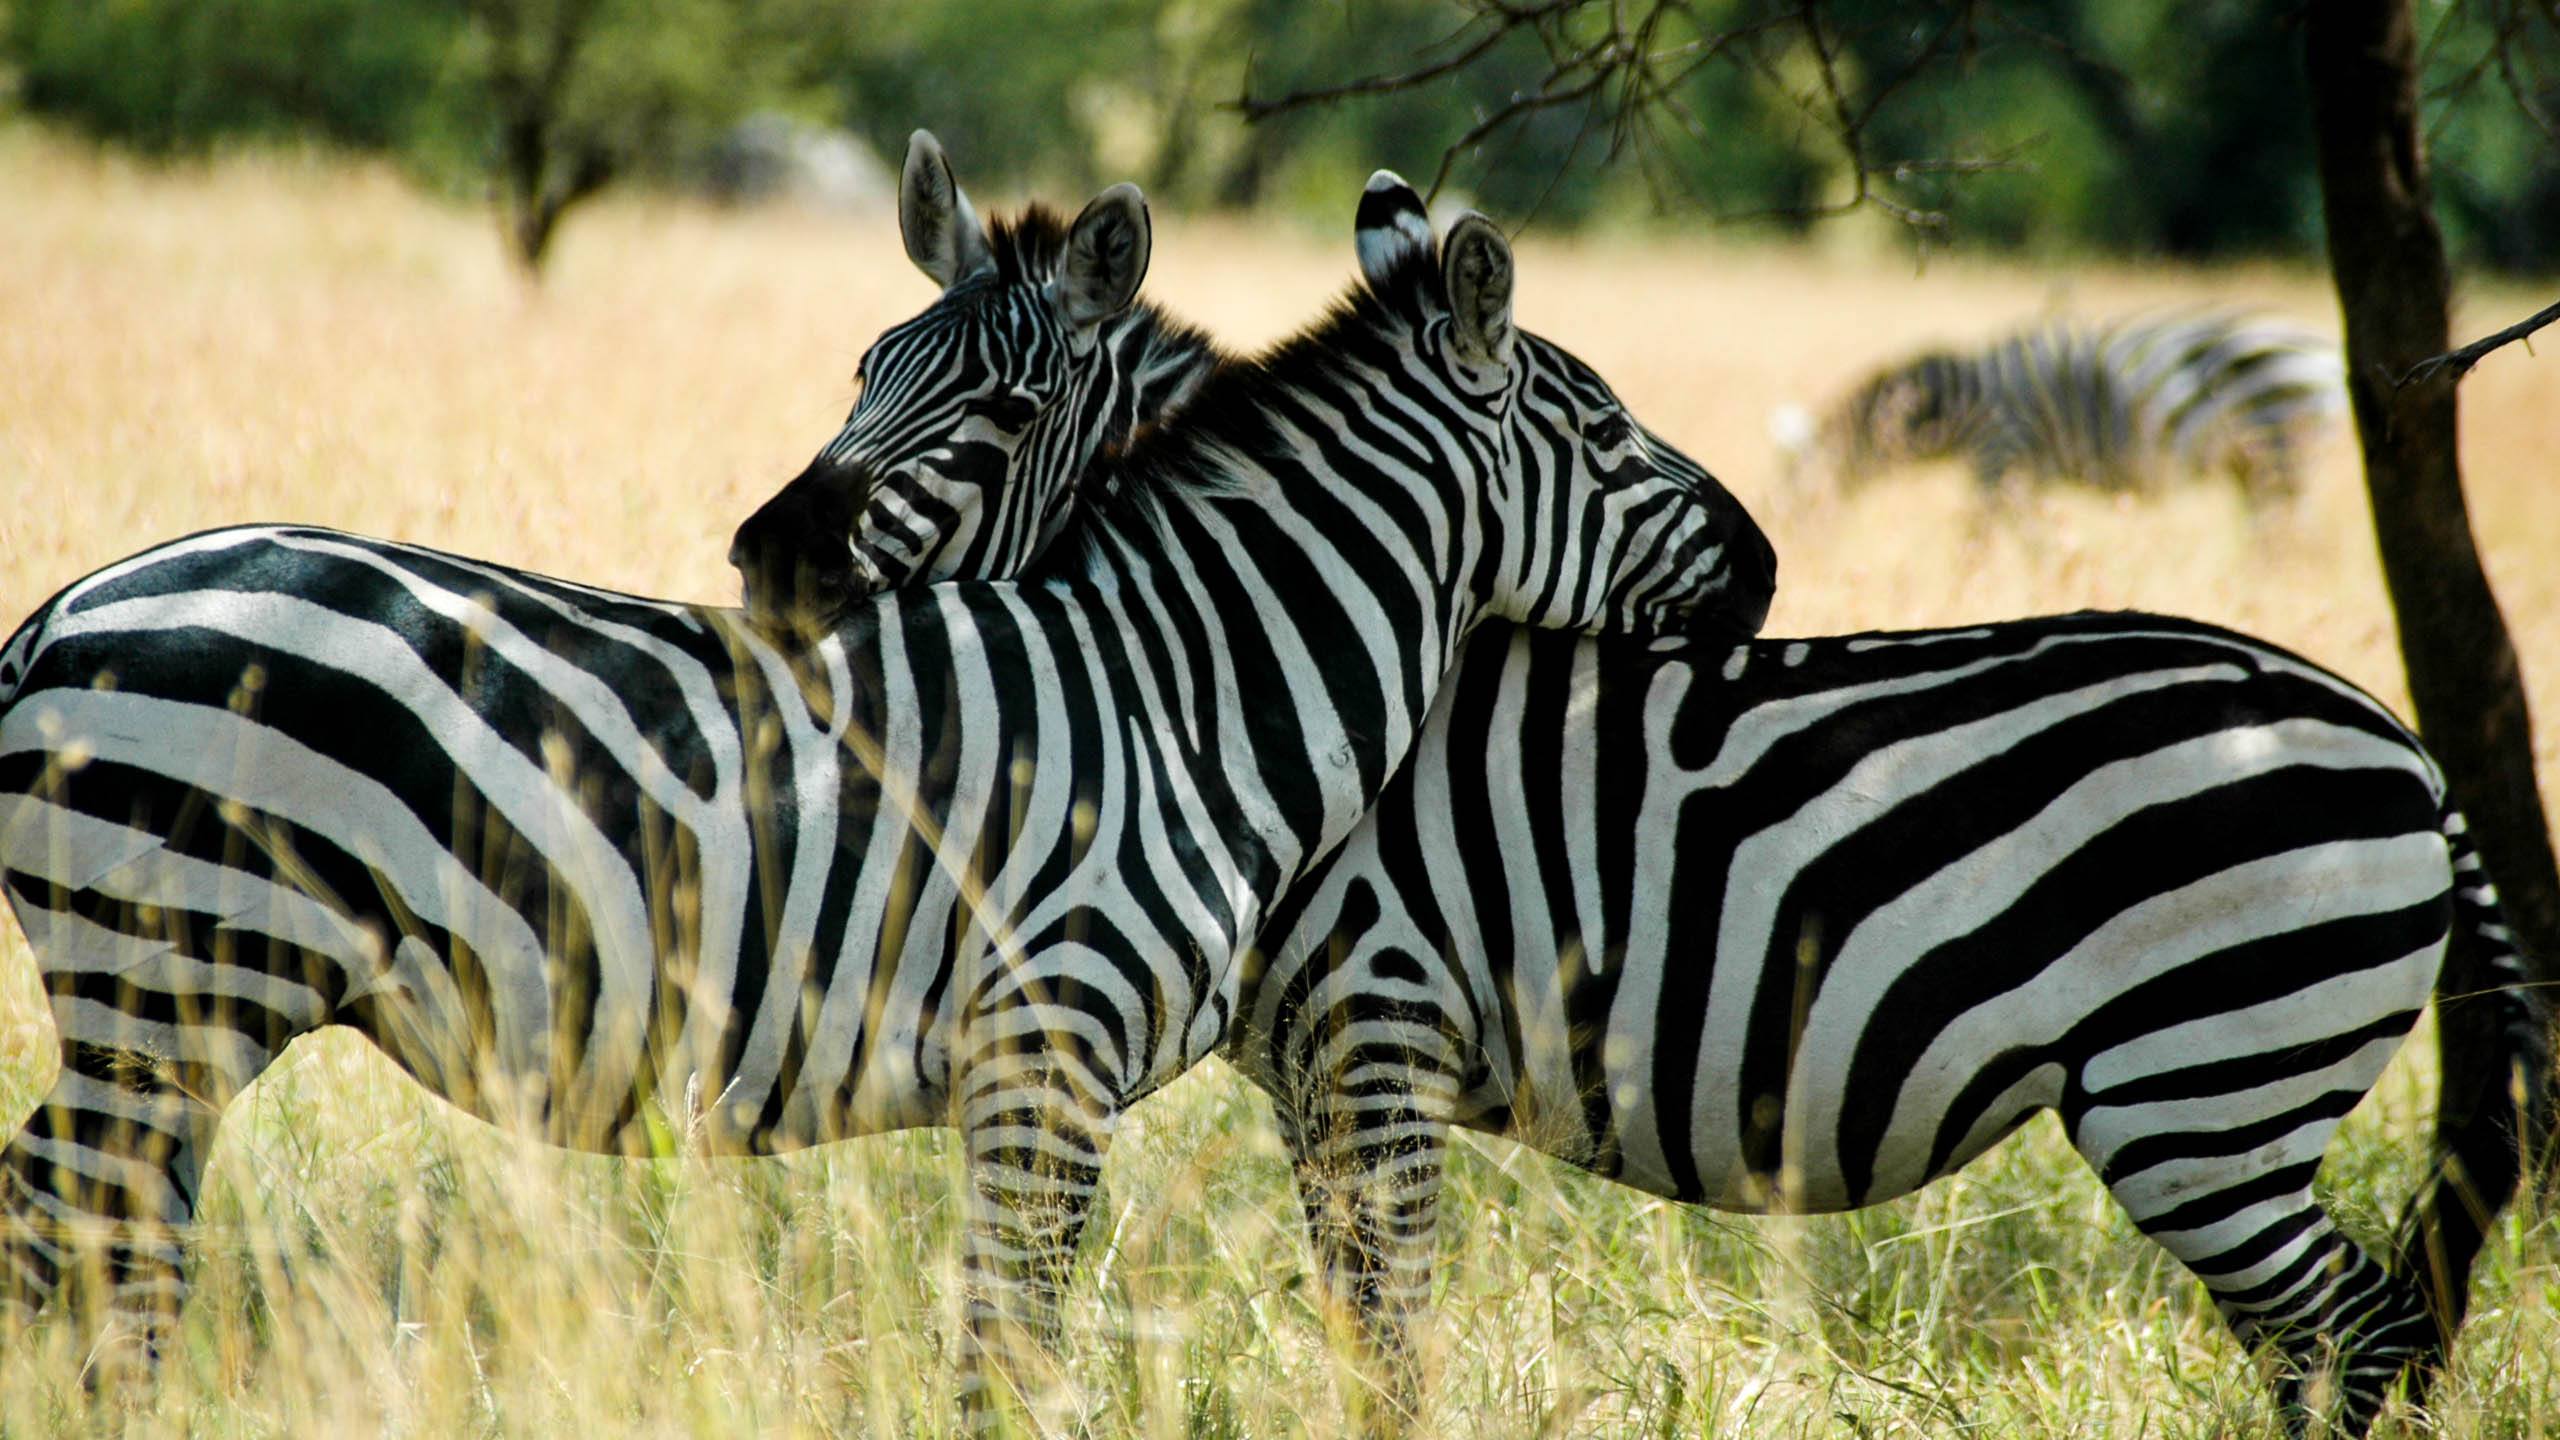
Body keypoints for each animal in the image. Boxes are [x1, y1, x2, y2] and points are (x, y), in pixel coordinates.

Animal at [0, 170, 1771, 1424]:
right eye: (1610, 428)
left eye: (996, 403)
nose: (1761, 563)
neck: (1185, 684)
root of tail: (61, 610)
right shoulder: (1046, 1051)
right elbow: (1007, 1359)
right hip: (174, 977)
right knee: (86, 1250)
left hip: (162, 1002)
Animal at [1792, 311, 2344, 507]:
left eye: (1795, 488)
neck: (1964, 400)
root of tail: (2327, 351)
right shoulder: (2025, 475)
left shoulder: (1999, 457)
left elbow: (1977, 541)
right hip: (2259, 466)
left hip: (2278, 451)